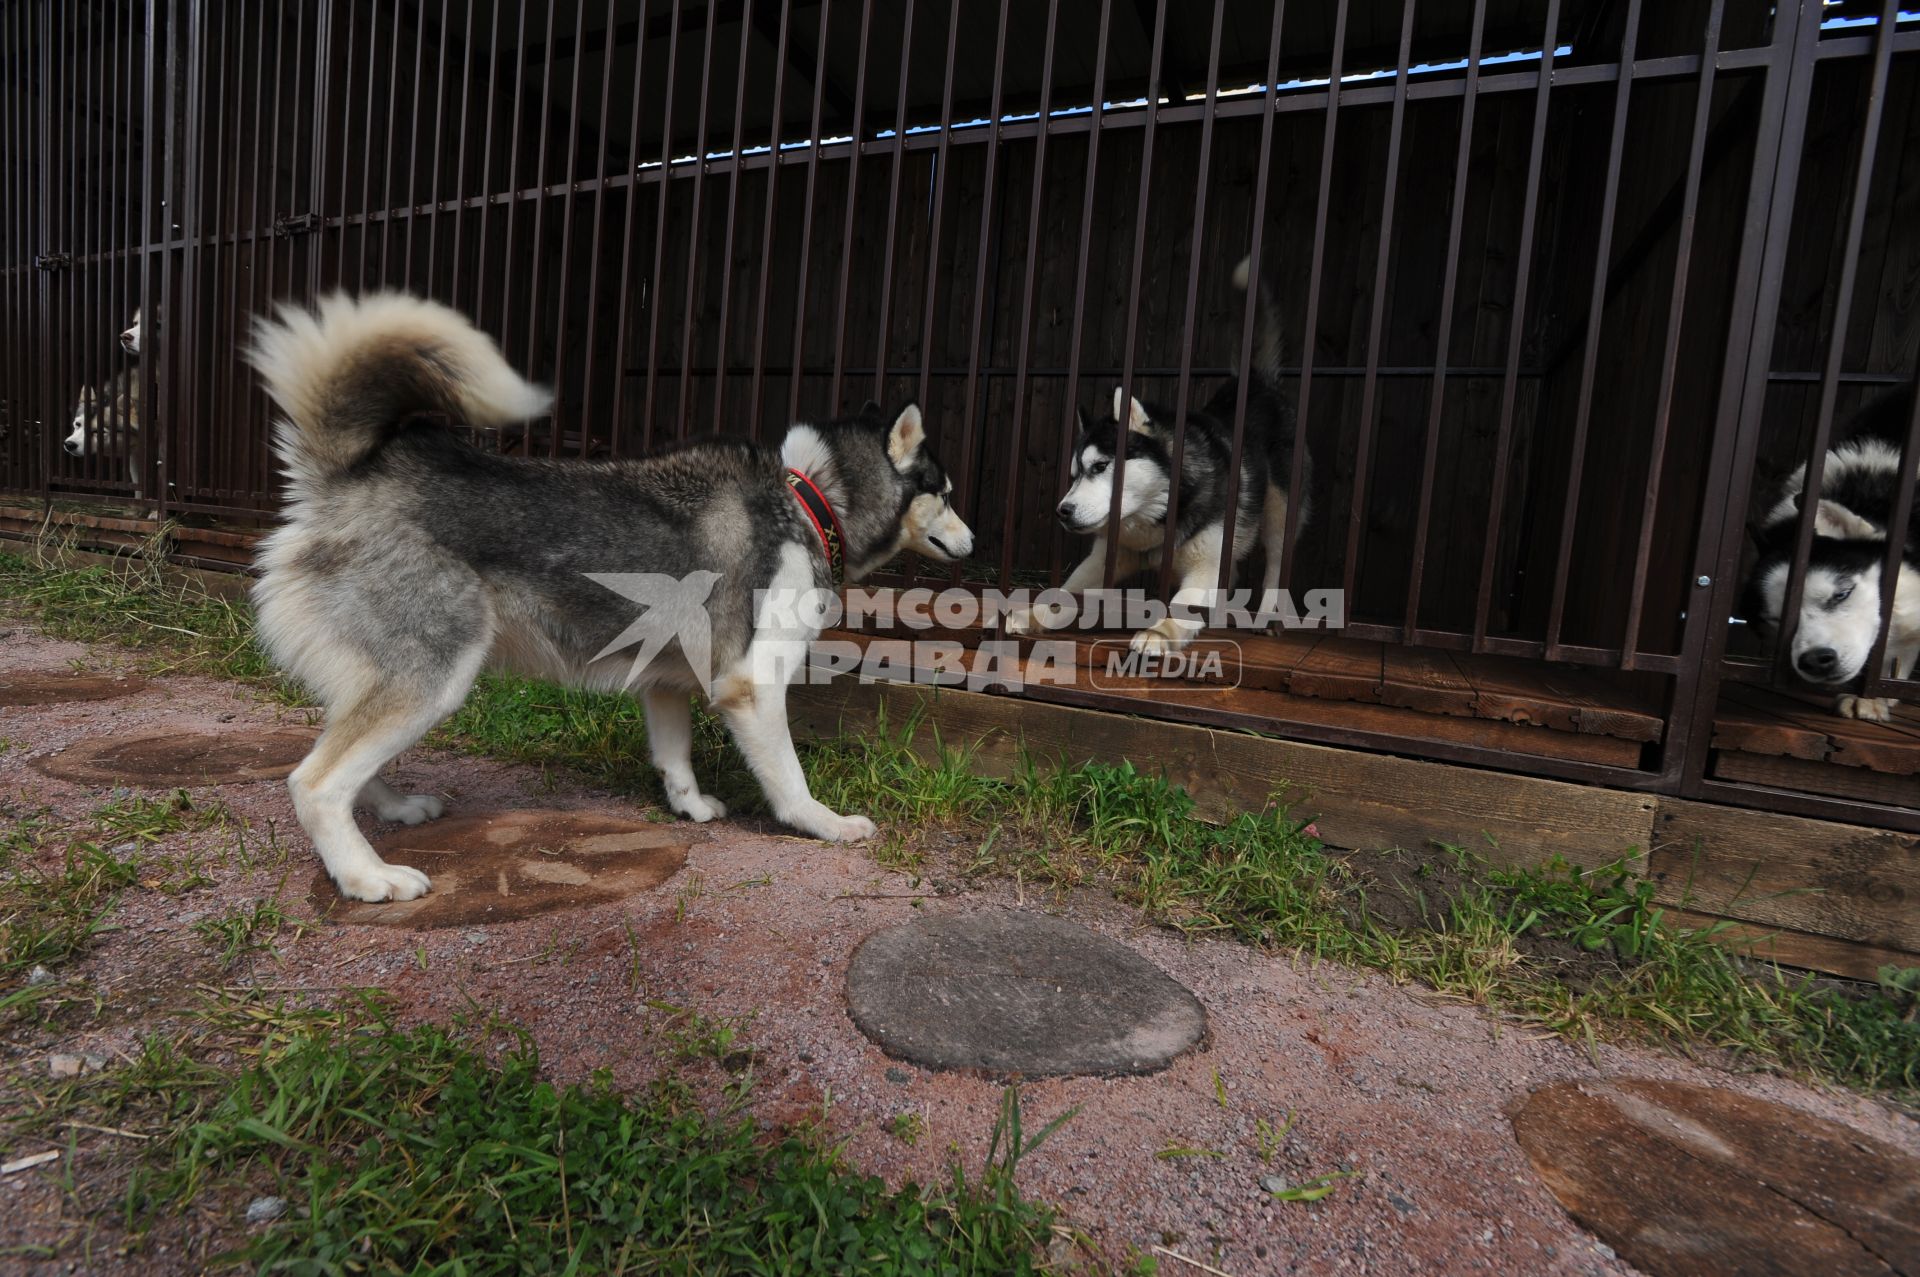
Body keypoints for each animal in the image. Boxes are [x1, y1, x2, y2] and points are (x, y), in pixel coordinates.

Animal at [247, 293, 975, 902]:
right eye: (945, 492)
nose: (975, 539)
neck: (809, 498)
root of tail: (348, 479)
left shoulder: (667, 680)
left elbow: (675, 756)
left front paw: (690, 806)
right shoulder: (753, 684)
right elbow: (789, 778)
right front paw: (821, 823)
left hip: (391, 675)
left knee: (339, 753)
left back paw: (395, 809)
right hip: (433, 674)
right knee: (315, 782)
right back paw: (367, 876)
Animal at [1006, 255, 1305, 652]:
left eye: (1100, 466)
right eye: (1075, 475)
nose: (1062, 511)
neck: (1155, 514)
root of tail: (1255, 383)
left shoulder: (1204, 563)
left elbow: (1185, 603)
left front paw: (1159, 633)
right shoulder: (1103, 559)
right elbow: (1063, 596)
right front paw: (1031, 615)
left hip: (1278, 511)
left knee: (1275, 561)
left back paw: (1270, 614)